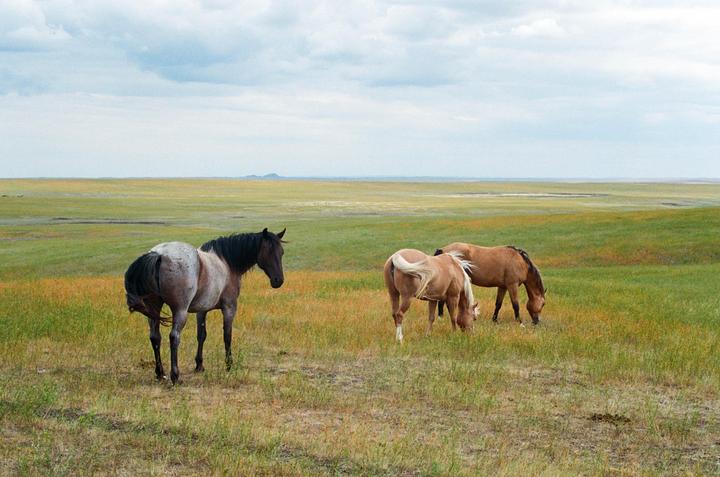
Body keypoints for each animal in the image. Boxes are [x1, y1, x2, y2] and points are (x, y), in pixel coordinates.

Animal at [124, 228, 286, 384]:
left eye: (281, 252)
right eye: (269, 251)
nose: (278, 280)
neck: (227, 264)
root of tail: (160, 254)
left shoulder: (202, 310)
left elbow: (201, 335)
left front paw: (199, 365)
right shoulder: (229, 307)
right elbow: (227, 335)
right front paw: (229, 364)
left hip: (154, 310)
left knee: (155, 338)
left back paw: (160, 373)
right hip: (180, 311)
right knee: (174, 337)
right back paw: (175, 376)